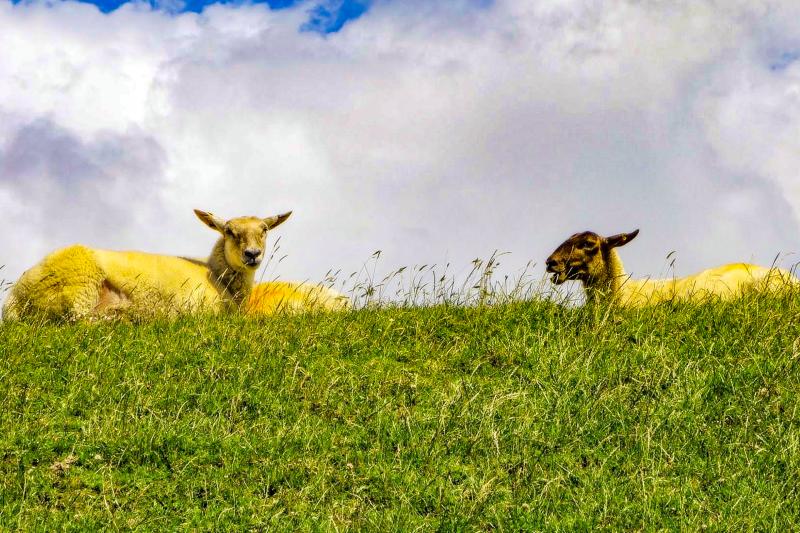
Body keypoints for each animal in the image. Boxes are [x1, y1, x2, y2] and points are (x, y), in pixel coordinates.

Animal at [2, 209, 291, 320]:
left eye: (264, 230)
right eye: (230, 232)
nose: (252, 254)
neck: (216, 275)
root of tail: (15, 297)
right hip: (80, 284)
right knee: (78, 319)